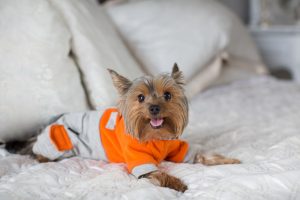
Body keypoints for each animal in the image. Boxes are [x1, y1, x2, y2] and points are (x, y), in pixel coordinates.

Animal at [5, 64, 240, 192]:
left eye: (167, 95)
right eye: (141, 98)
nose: (154, 108)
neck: (156, 137)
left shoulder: (177, 147)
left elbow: (202, 154)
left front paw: (227, 161)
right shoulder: (139, 161)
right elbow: (159, 174)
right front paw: (178, 184)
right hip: (58, 140)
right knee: (39, 152)